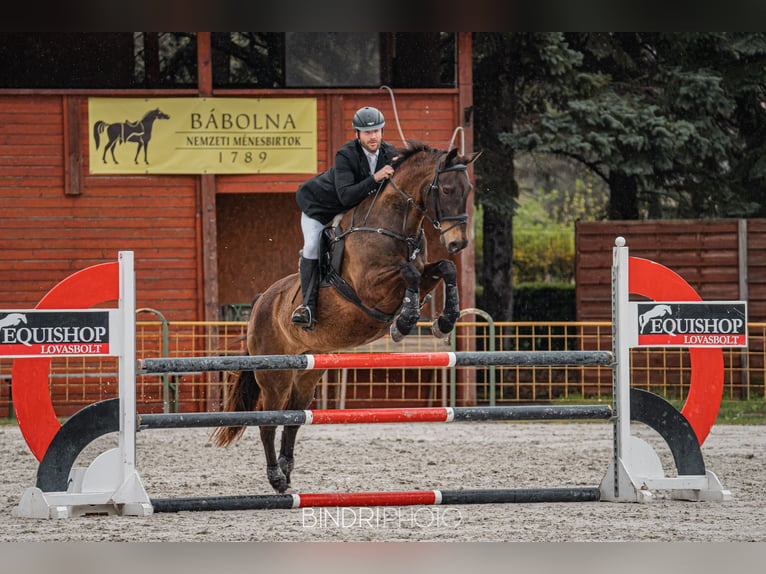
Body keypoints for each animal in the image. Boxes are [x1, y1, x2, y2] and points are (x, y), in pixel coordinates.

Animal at [213, 141, 484, 496]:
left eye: (468, 190)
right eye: (447, 189)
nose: (457, 242)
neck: (393, 227)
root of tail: (260, 302)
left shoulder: (422, 274)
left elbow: (444, 269)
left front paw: (442, 321)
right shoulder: (370, 289)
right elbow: (408, 272)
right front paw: (404, 322)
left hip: (308, 371)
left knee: (294, 416)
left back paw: (286, 469)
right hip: (275, 373)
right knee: (267, 421)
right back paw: (276, 478)